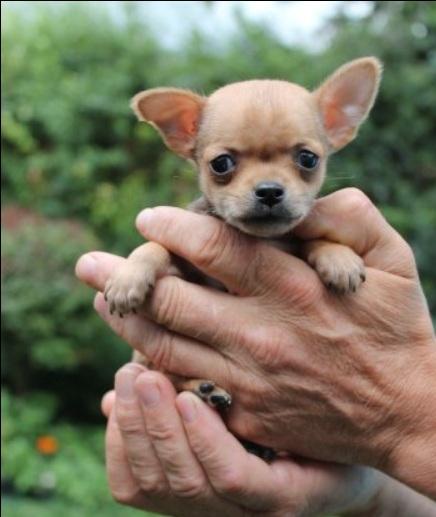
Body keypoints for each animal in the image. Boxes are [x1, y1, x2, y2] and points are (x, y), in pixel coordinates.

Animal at [104, 56, 382, 412]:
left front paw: (339, 258)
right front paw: (128, 278)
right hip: (147, 360)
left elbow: (311, 237)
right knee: (166, 373)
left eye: (308, 159)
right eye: (221, 164)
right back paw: (202, 389)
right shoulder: (186, 267)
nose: (269, 191)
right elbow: (156, 247)